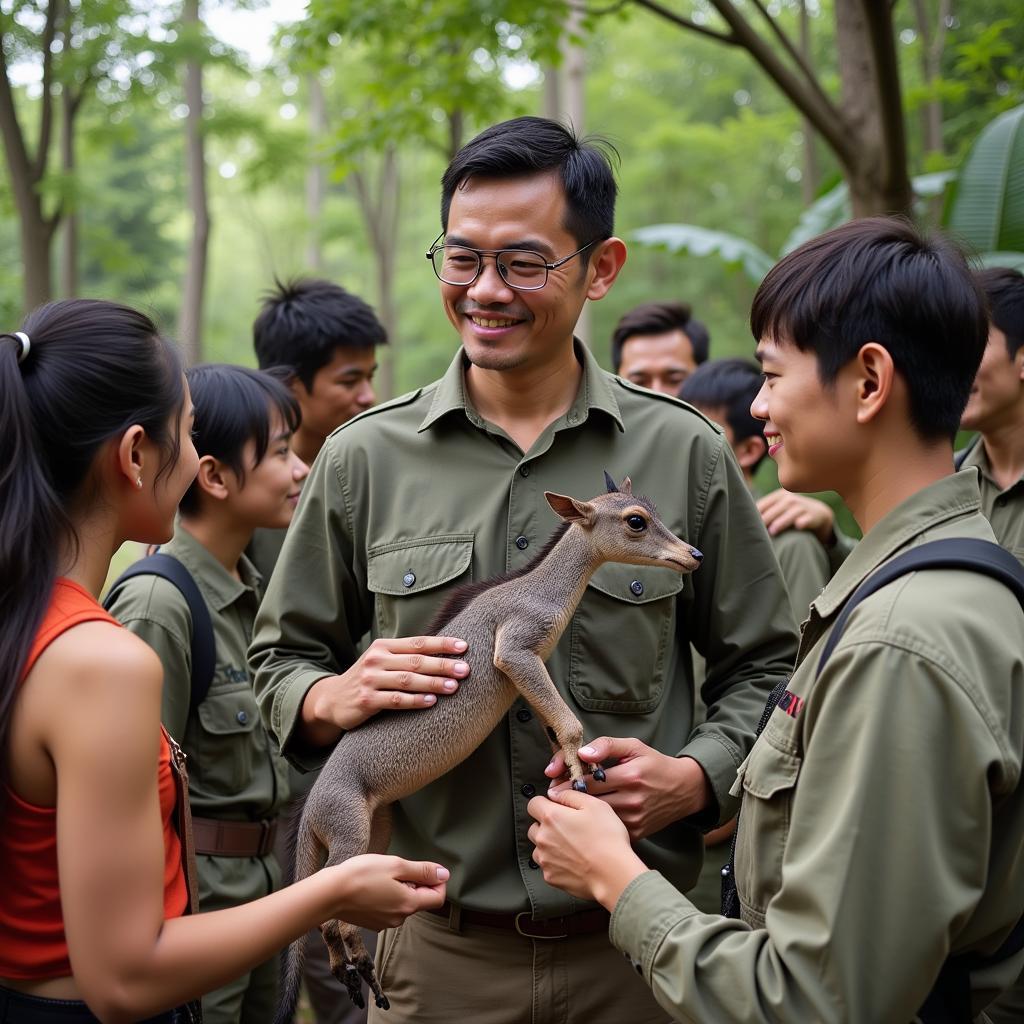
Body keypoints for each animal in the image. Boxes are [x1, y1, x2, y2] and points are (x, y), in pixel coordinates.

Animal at [280, 471, 704, 1015]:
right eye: (636, 521)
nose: (692, 554)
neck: (542, 591)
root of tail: (310, 808)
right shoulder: (516, 652)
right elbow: (568, 725)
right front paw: (582, 769)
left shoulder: (527, 674)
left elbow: (554, 727)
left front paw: (567, 767)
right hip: (349, 835)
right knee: (331, 912)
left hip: (372, 832)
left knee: (328, 914)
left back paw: (354, 971)